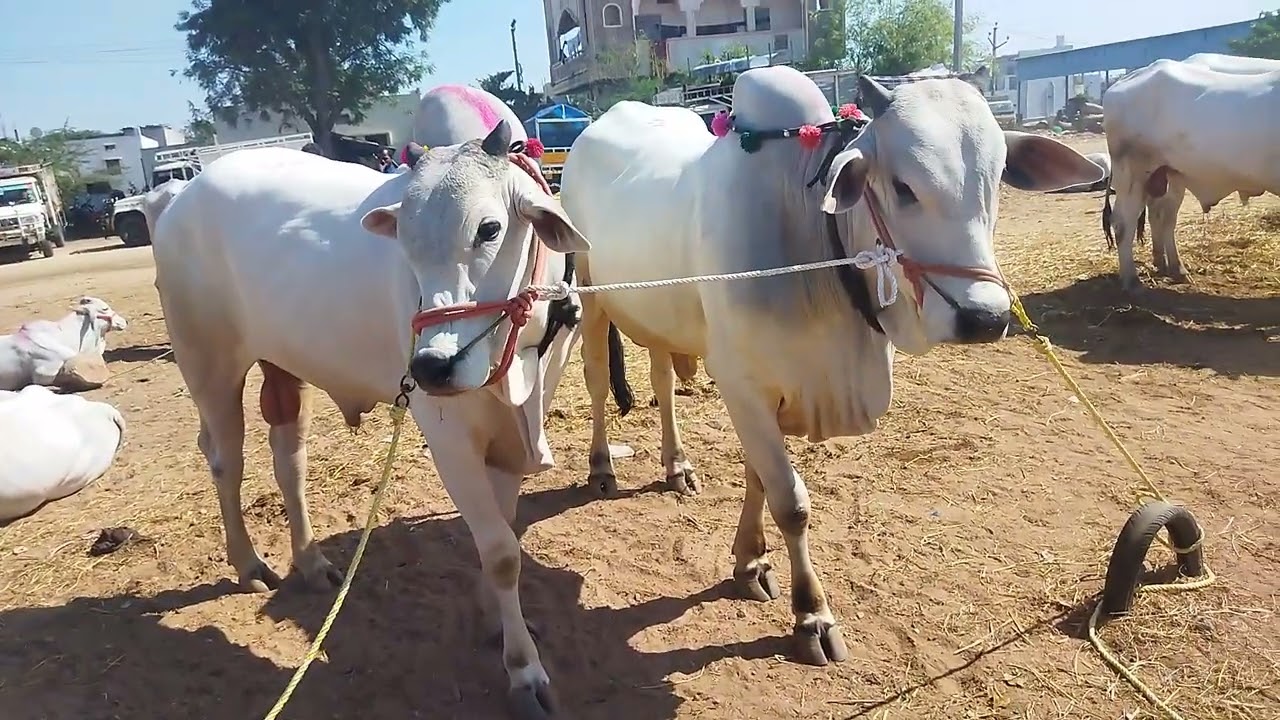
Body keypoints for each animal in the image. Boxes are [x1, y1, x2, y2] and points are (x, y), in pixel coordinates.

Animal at [152, 118, 589, 717]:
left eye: (490, 228)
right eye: (403, 236)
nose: (430, 365)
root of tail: (179, 196)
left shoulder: (513, 433)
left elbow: (504, 534)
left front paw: (495, 622)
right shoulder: (450, 439)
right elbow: (501, 553)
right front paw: (524, 673)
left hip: (284, 368)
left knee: (288, 460)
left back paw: (311, 562)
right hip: (208, 365)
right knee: (226, 461)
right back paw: (248, 564)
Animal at [559, 66, 1104, 666]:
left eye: (998, 178)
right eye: (903, 187)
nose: (984, 317)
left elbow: (760, 478)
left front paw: (749, 562)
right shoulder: (742, 384)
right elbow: (791, 502)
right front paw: (810, 615)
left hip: (657, 315)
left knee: (661, 380)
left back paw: (677, 466)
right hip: (590, 296)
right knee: (595, 382)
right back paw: (602, 467)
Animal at [1101, 59, 1280, 288]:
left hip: (1168, 175)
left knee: (1164, 217)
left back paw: (1175, 268)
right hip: (1133, 173)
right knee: (1124, 222)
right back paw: (1132, 280)